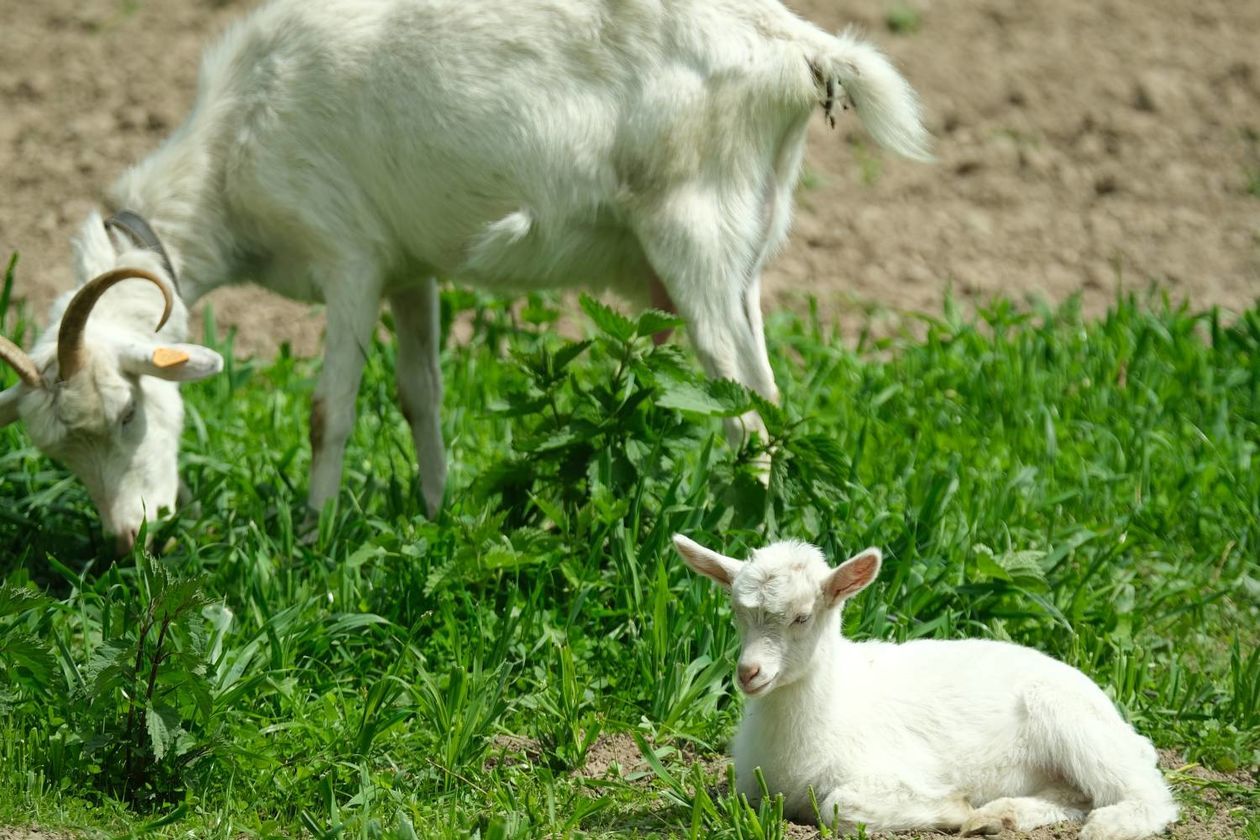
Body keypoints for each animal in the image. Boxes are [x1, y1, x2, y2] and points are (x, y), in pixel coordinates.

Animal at [0, 0, 932, 549]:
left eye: (129, 414)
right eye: (57, 455)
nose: (130, 538)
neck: (238, 136)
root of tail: (801, 49)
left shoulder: (348, 257)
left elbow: (328, 411)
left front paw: (312, 540)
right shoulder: (407, 269)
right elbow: (421, 393)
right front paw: (435, 511)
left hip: (694, 239)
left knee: (746, 415)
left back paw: (742, 552)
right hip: (739, 256)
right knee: (769, 405)